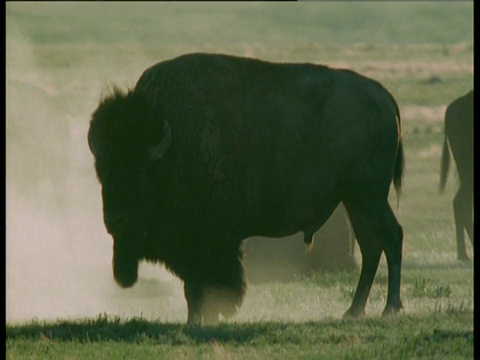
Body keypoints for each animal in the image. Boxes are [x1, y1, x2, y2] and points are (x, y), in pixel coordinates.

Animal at [87, 52, 404, 324]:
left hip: (370, 196)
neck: (173, 144)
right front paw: (196, 320)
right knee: (371, 245)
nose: (114, 219)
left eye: (138, 173)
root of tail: (386, 98)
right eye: (101, 172)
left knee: (392, 236)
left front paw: (206, 318)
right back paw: (353, 311)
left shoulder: (210, 240)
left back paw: (391, 308)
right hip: (354, 200)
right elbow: (194, 287)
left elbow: (206, 284)